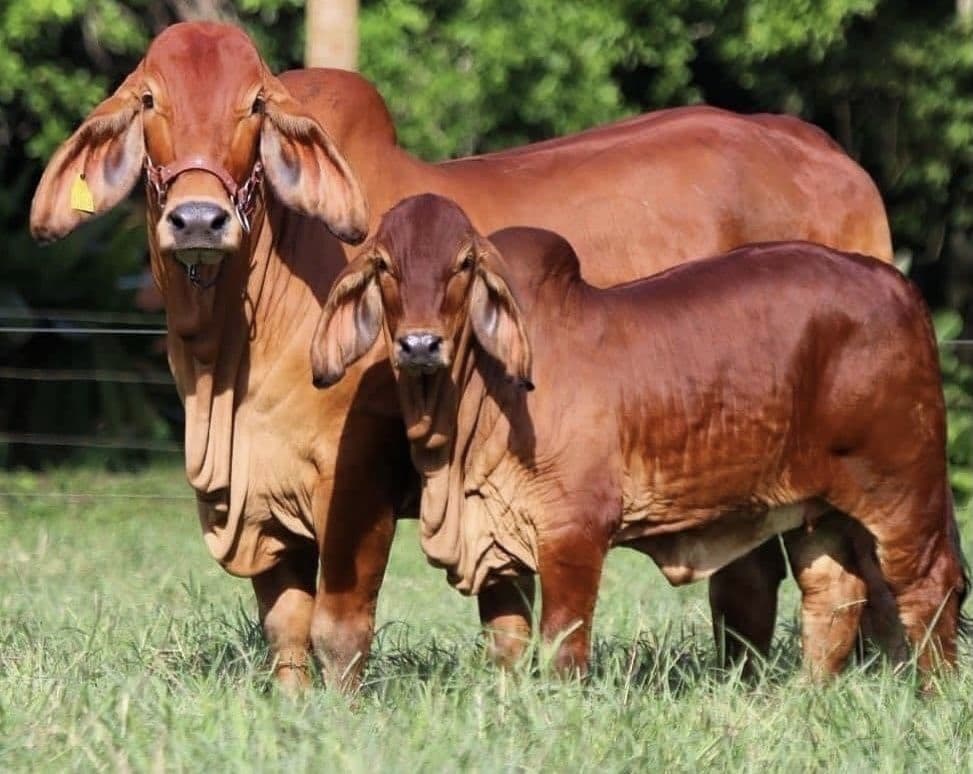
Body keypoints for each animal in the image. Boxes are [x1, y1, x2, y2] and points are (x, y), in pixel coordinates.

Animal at [31, 21, 895, 690]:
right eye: (150, 101)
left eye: (254, 106)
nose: (199, 220)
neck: (228, 359)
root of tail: (825, 151)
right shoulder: (262, 492)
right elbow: (286, 630)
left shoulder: (359, 473)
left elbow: (339, 626)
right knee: (755, 579)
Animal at [314, 193, 967, 677]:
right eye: (383, 266)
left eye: (464, 265)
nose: (420, 345)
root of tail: (898, 286)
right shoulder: (500, 544)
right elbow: (508, 646)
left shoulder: (574, 533)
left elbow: (563, 646)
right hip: (820, 509)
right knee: (835, 594)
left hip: (904, 487)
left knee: (929, 588)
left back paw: (931, 697)